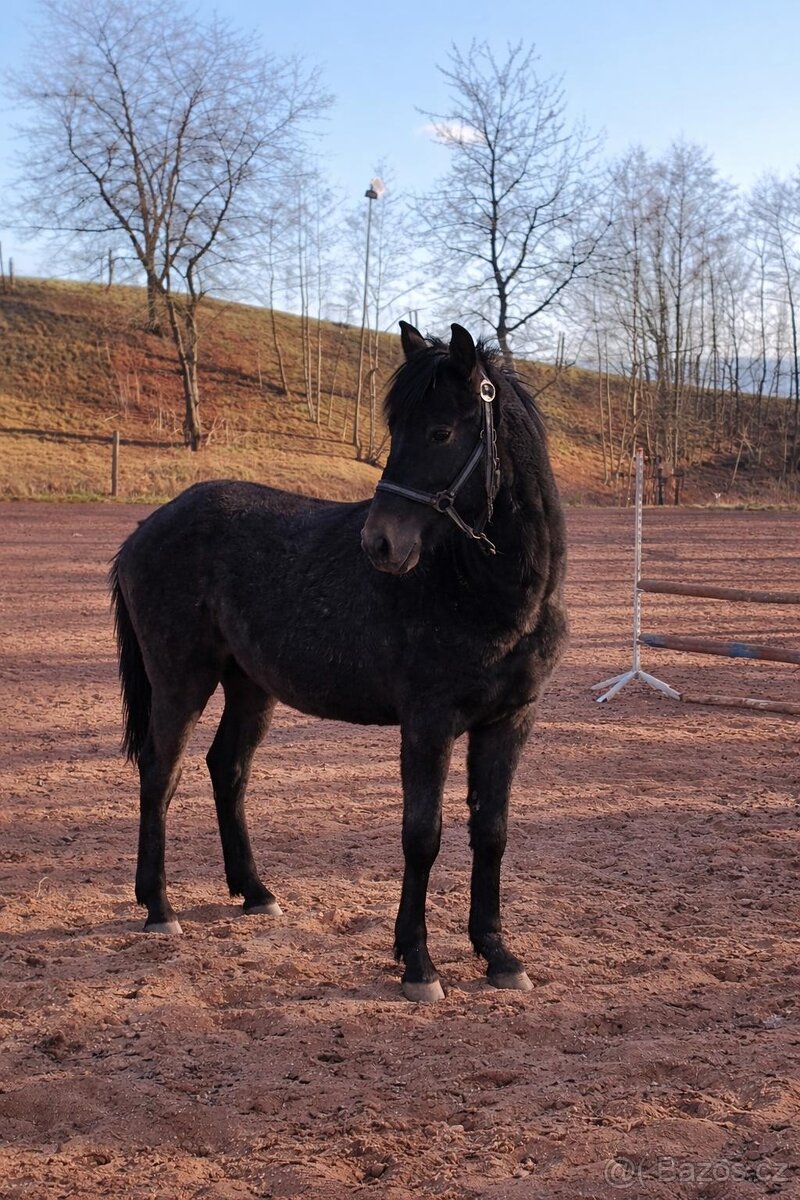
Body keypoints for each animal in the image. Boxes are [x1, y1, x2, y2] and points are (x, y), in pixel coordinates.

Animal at [110, 321, 568, 1002]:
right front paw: (417, 963)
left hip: (250, 687)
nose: (380, 543)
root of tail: (147, 527)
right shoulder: (428, 725)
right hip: (180, 681)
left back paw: (255, 893)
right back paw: (159, 908)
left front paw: (498, 955)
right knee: (160, 774)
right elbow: (422, 835)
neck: (484, 590)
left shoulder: (509, 721)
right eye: (396, 428)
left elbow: (491, 833)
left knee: (228, 769)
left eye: (440, 432)